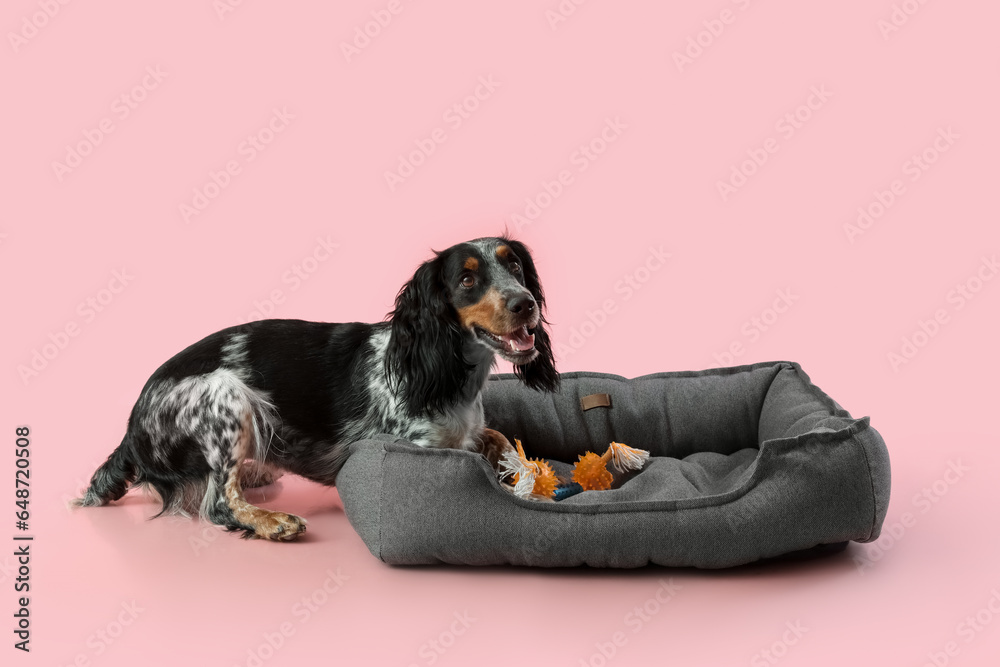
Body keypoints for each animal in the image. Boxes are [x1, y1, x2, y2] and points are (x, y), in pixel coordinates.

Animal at [74, 237, 560, 540]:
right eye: (466, 279)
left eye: (515, 265)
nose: (525, 304)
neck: (448, 375)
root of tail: (132, 429)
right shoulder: (421, 445)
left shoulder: (471, 432)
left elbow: (501, 440)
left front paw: (529, 476)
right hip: (226, 393)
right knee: (218, 502)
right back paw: (271, 521)